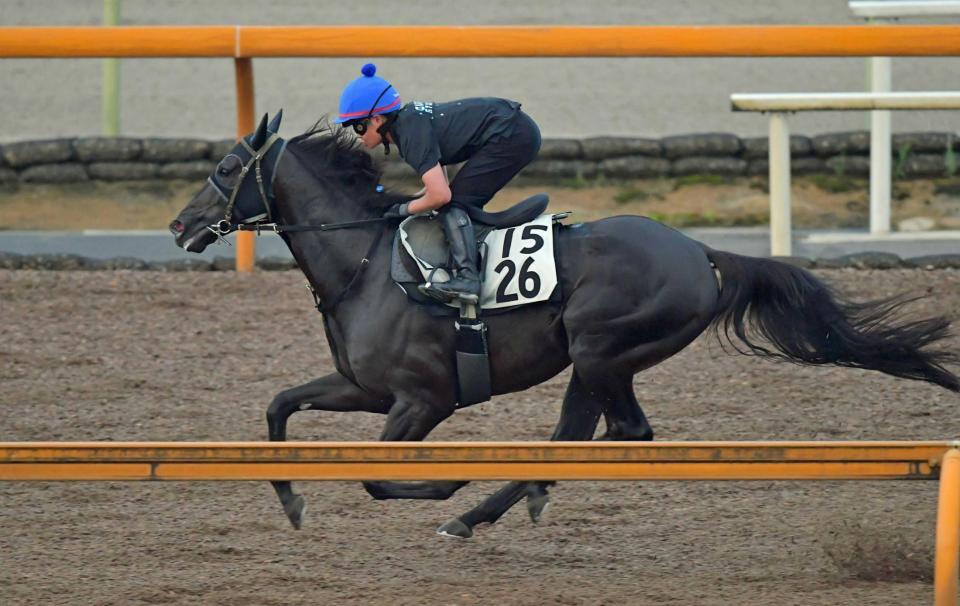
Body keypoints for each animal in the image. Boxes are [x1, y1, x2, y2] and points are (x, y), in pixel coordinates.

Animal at [172, 111, 960, 540]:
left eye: (228, 166)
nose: (180, 226)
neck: (365, 261)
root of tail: (699, 251)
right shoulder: (362, 387)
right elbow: (278, 407)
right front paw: (292, 501)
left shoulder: (424, 400)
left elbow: (376, 477)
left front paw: (445, 487)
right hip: (599, 359)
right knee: (598, 435)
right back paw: (501, 505)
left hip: (599, 346)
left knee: (600, 434)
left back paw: (473, 511)